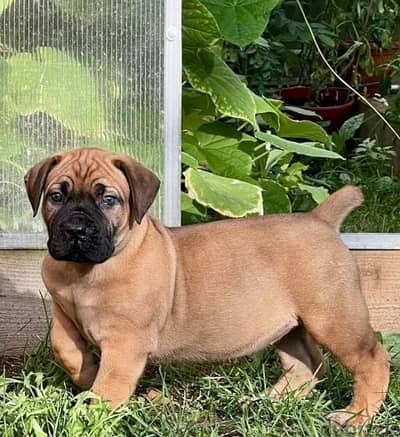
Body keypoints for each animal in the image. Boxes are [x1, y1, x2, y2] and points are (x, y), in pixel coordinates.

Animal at [23, 148, 390, 428]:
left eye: (108, 200)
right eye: (56, 196)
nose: (75, 230)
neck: (85, 270)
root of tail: (320, 218)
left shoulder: (125, 341)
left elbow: (112, 381)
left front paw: (93, 415)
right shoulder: (63, 310)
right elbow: (63, 346)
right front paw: (86, 374)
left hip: (332, 316)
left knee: (372, 358)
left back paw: (355, 416)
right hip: (290, 325)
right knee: (308, 365)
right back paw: (264, 403)